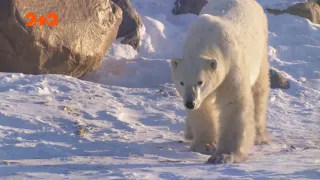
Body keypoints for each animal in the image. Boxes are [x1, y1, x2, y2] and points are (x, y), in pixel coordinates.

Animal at [170, 0, 270, 164]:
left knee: (259, 89)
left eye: (200, 81)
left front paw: (224, 155)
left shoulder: (231, 65)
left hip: (261, 48)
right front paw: (205, 146)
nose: (190, 103)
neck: (205, 38)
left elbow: (233, 104)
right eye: (182, 82)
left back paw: (259, 135)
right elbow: (203, 109)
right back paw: (189, 132)